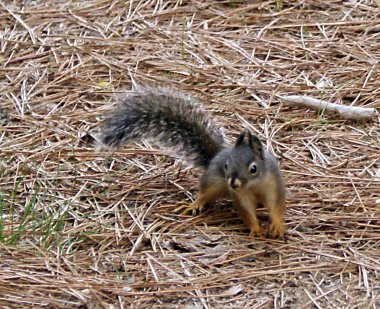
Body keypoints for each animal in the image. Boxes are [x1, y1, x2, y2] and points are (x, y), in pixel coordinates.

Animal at [98, 86, 284, 238]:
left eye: (253, 168)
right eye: (226, 166)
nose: (232, 183)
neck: (253, 185)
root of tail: (217, 155)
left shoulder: (273, 184)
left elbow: (276, 205)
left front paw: (277, 226)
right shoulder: (240, 196)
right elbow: (246, 212)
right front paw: (256, 229)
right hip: (213, 182)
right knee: (205, 193)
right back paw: (195, 204)